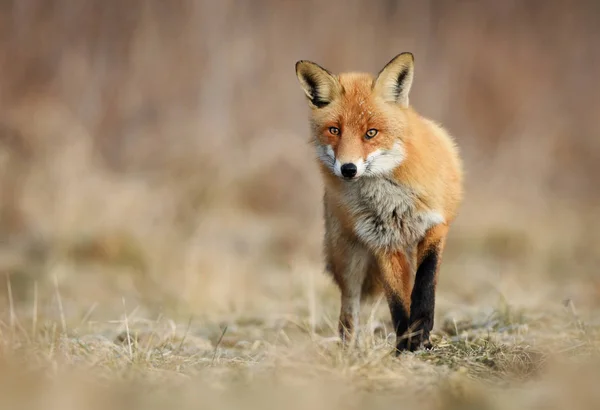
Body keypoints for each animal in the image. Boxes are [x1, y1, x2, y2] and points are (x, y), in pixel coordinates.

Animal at [296, 51, 464, 352]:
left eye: (371, 133)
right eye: (334, 130)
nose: (348, 169)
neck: (392, 202)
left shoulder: (436, 226)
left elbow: (424, 286)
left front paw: (420, 336)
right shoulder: (383, 241)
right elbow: (397, 302)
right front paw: (405, 346)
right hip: (349, 259)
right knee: (349, 312)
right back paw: (349, 351)